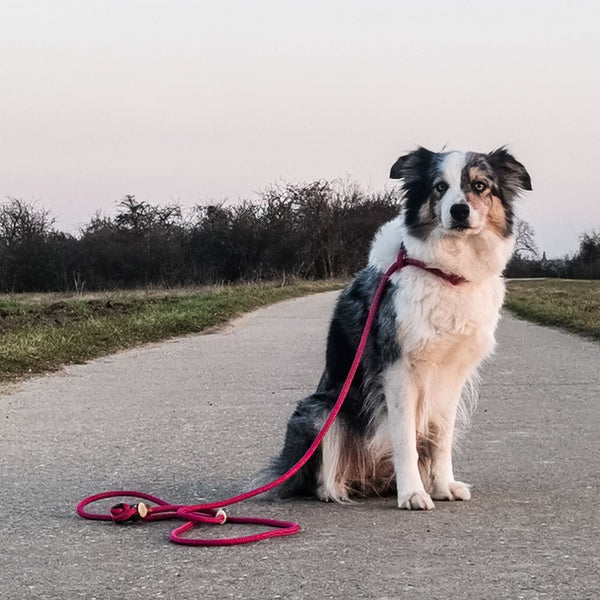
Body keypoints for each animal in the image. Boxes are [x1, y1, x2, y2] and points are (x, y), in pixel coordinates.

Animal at [262, 148, 528, 508]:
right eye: (439, 187)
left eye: (479, 185)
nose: (459, 211)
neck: (445, 273)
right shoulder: (398, 370)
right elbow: (405, 439)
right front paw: (413, 492)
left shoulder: (451, 374)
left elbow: (440, 437)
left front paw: (443, 486)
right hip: (322, 410)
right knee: (318, 479)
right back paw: (338, 490)